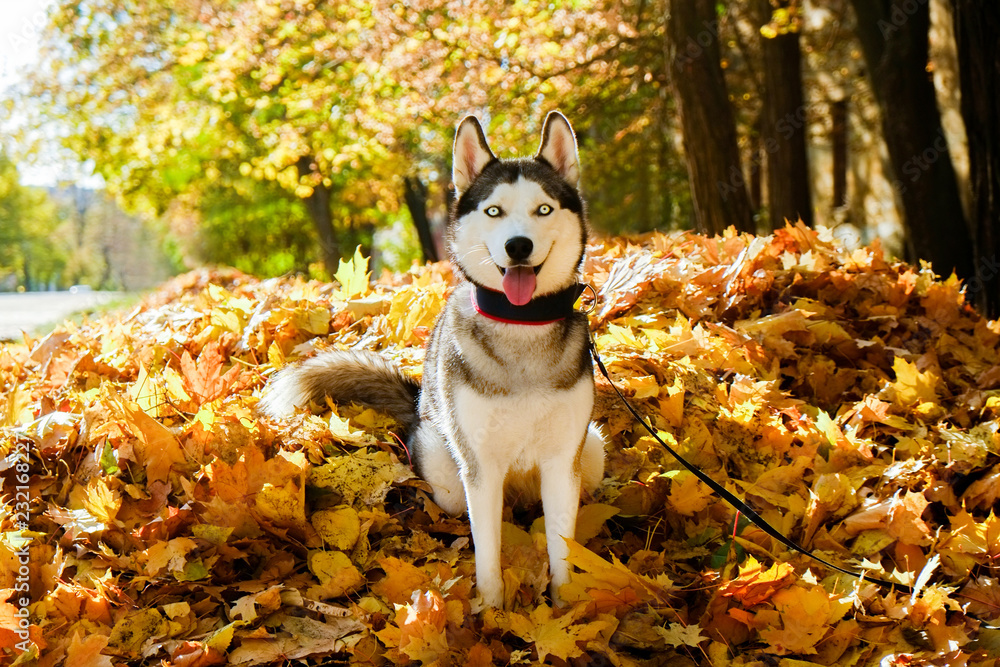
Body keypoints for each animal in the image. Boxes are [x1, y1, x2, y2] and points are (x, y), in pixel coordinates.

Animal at [260, 112, 600, 608]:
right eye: (494, 211)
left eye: (543, 209)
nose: (518, 246)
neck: (520, 324)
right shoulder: (479, 467)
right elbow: (488, 551)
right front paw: (493, 611)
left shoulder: (561, 461)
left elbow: (561, 549)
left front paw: (568, 608)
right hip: (449, 473)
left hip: (591, 451)